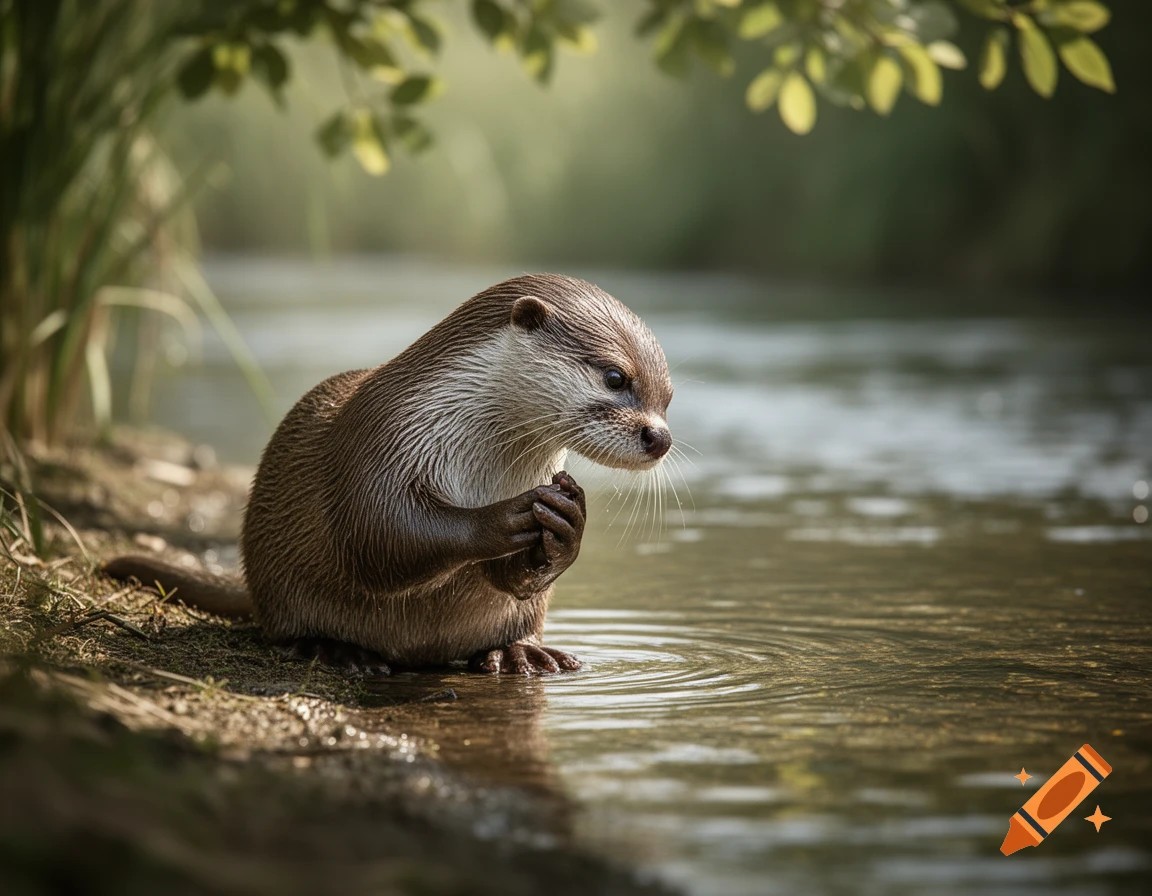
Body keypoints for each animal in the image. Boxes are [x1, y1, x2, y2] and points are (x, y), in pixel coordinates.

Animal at [105, 274, 673, 676]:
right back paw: (333, 649)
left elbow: (508, 578)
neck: (482, 462)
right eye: (616, 377)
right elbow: (380, 535)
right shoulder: (383, 442)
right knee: (283, 628)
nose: (661, 438)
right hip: (281, 594)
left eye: (667, 398)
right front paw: (503, 518)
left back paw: (518, 654)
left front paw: (567, 527)